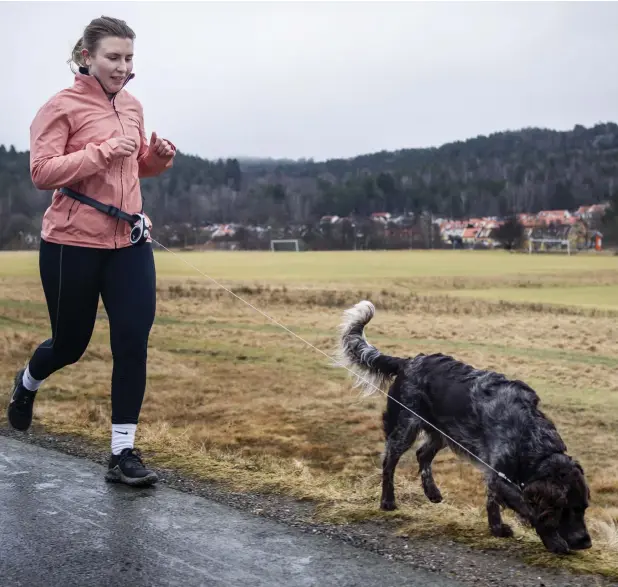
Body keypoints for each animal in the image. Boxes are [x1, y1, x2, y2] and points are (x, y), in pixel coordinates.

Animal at [336, 300, 592, 552]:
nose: (586, 543)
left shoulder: (495, 473)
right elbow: (530, 509)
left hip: (443, 432)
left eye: (584, 507)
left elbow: (492, 500)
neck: (531, 436)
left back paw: (432, 492)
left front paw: (497, 529)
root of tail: (407, 363)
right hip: (405, 427)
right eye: (568, 509)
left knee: (422, 454)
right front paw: (553, 540)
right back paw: (388, 501)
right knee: (389, 462)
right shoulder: (501, 476)